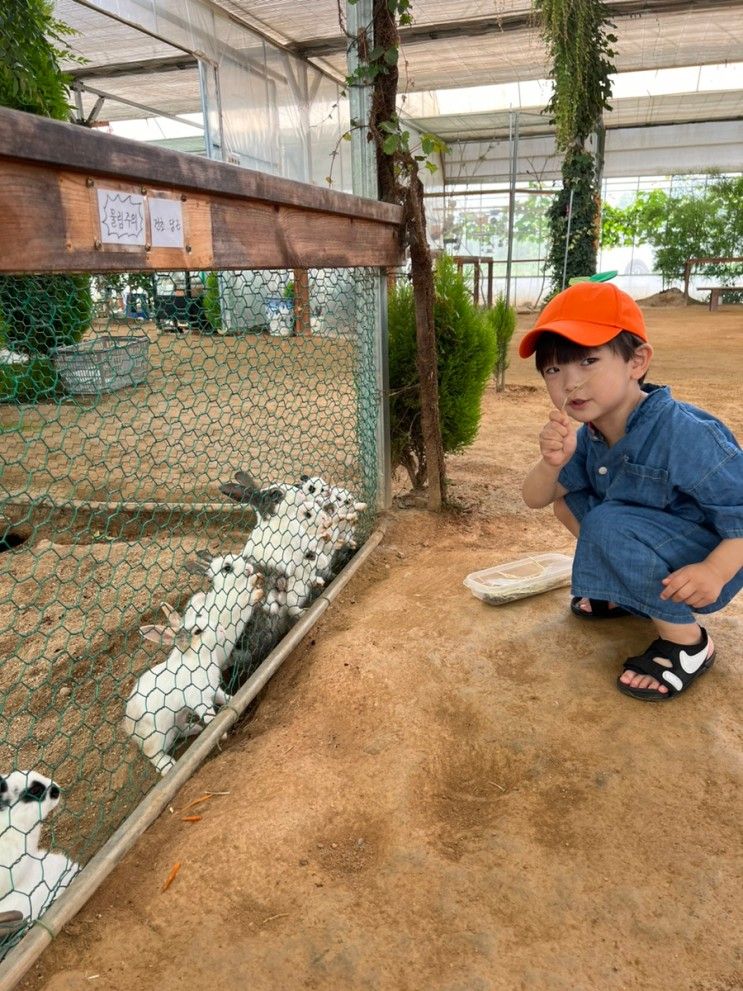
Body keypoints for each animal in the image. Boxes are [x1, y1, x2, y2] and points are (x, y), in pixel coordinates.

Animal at [126, 560, 266, 776]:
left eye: (202, 619)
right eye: (198, 631)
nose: (220, 629)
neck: (198, 659)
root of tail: (127, 726)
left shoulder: (212, 690)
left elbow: (223, 698)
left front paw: (235, 700)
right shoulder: (197, 699)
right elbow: (208, 714)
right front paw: (220, 733)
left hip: (177, 719)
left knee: (179, 730)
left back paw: (195, 729)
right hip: (157, 735)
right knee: (153, 754)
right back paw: (168, 766)